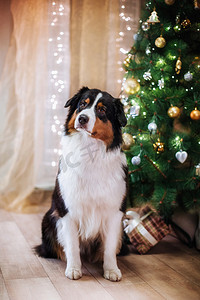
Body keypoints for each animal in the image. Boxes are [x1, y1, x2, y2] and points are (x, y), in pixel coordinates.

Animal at [35, 86, 127, 282]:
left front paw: (111, 270)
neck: (89, 150)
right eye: (82, 105)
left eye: (102, 110)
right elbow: (72, 245)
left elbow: (109, 247)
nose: (82, 118)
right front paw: (74, 269)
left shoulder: (115, 212)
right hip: (50, 219)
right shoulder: (68, 211)